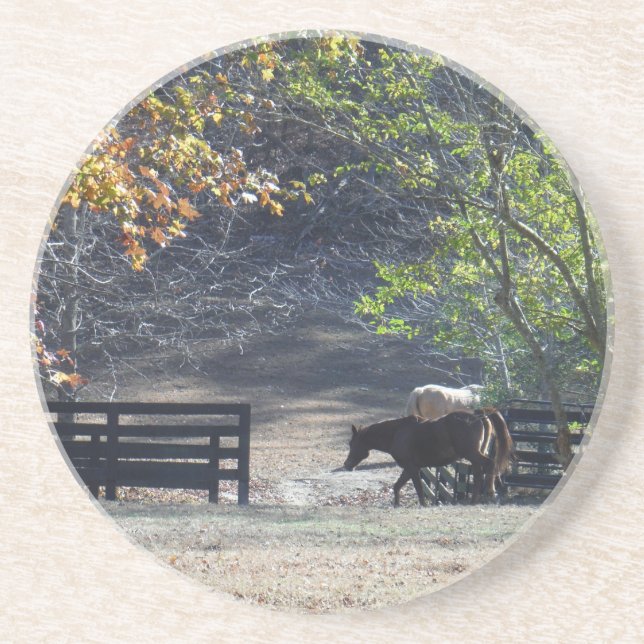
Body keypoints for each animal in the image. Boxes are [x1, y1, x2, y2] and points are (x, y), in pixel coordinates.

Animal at [343, 409, 513, 507]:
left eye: (352, 443)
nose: (347, 465)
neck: (397, 433)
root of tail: (479, 417)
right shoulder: (410, 468)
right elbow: (397, 486)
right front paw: (397, 504)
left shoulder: (411, 468)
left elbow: (418, 488)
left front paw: (422, 505)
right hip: (474, 455)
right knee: (478, 473)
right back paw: (474, 500)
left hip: (472, 454)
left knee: (489, 465)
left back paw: (490, 493)